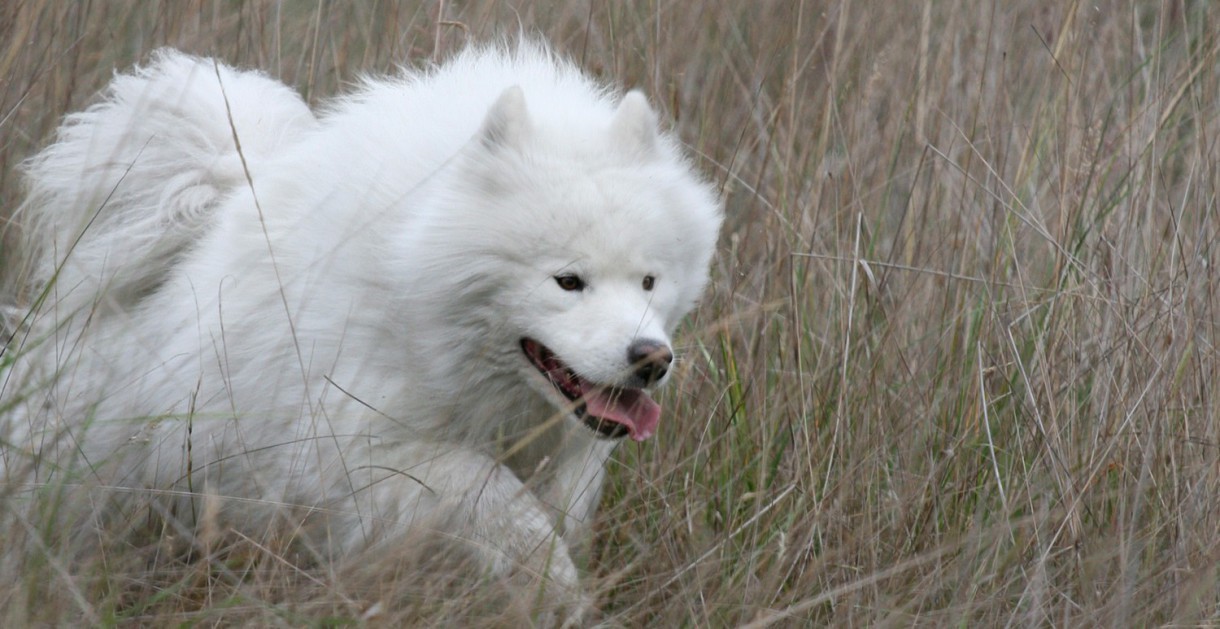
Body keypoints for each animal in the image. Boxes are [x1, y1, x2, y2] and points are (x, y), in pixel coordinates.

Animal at [0, 41, 717, 607]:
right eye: (568, 281)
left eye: (649, 281)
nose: (652, 357)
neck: (413, 276)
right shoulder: (364, 450)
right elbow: (504, 508)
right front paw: (558, 591)